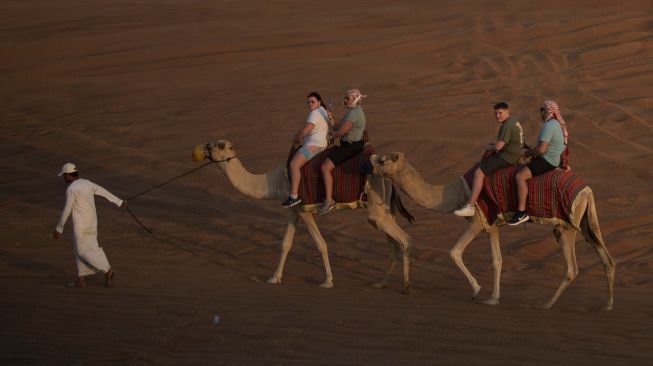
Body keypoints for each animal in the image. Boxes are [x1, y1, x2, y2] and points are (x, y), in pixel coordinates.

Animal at [191, 139, 412, 294]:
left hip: (377, 209)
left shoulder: (304, 210)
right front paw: (274, 278)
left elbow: (321, 244)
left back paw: (406, 287)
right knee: (393, 243)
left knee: (403, 239)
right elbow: (286, 244)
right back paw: (381, 283)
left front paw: (327, 281)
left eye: (217, 145)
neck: (275, 180)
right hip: (386, 211)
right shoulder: (292, 209)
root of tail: (388, 177)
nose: (200, 148)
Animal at [370, 152, 612, 308]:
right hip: (585, 221)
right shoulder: (491, 225)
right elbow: (497, 261)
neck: (455, 192)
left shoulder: (477, 221)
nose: (370, 159)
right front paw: (493, 298)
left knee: (572, 268)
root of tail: (586, 190)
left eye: (383, 160)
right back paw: (607, 305)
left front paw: (477, 290)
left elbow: (454, 252)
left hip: (566, 226)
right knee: (606, 257)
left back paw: (546, 304)